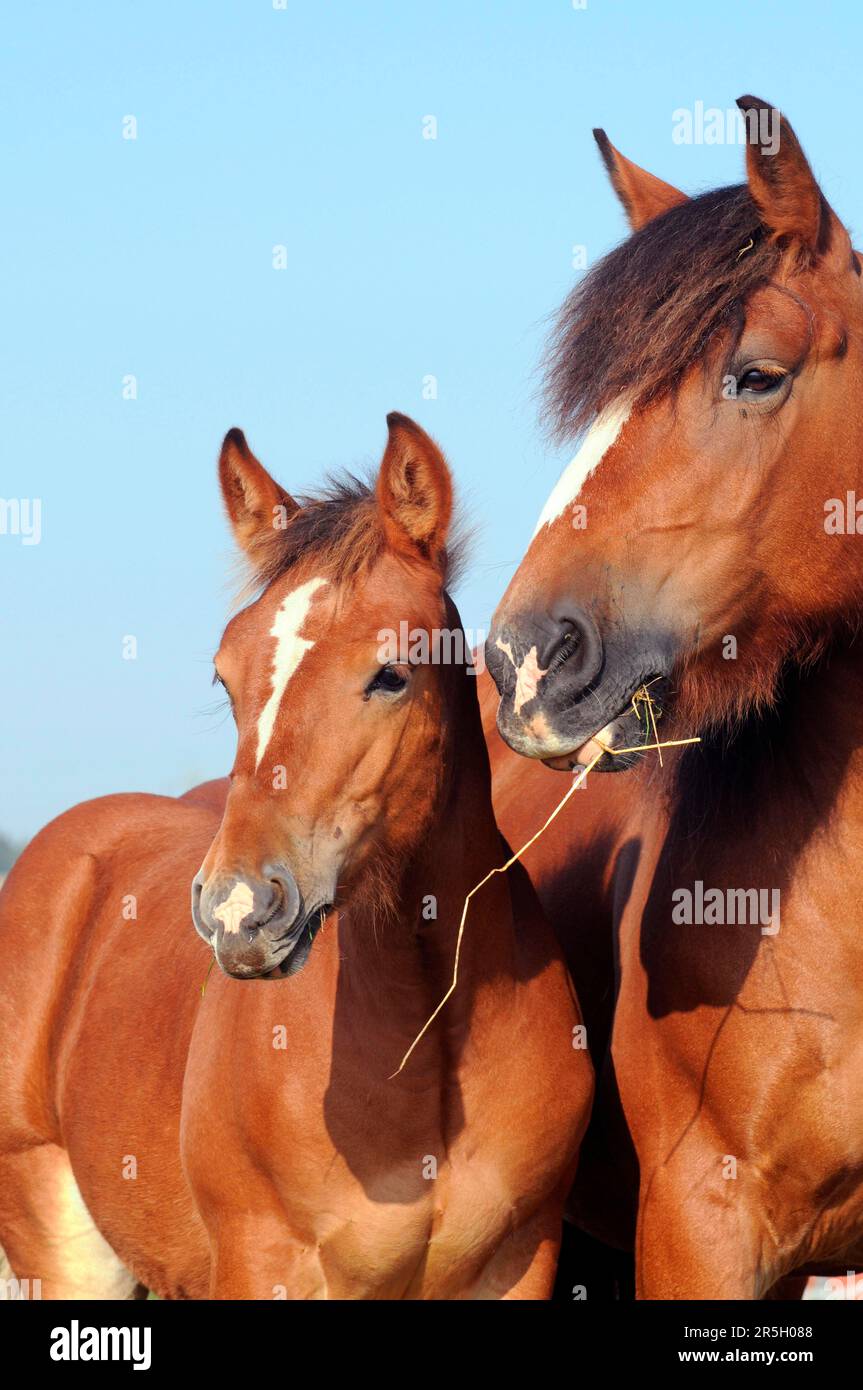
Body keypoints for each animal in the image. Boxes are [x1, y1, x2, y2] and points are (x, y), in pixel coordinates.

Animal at [0, 405, 592, 1295]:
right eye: (224, 676)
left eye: (391, 674)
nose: (240, 911)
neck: (428, 1038)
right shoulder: (262, 1260)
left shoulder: (520, 1264)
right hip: (60, 1248)